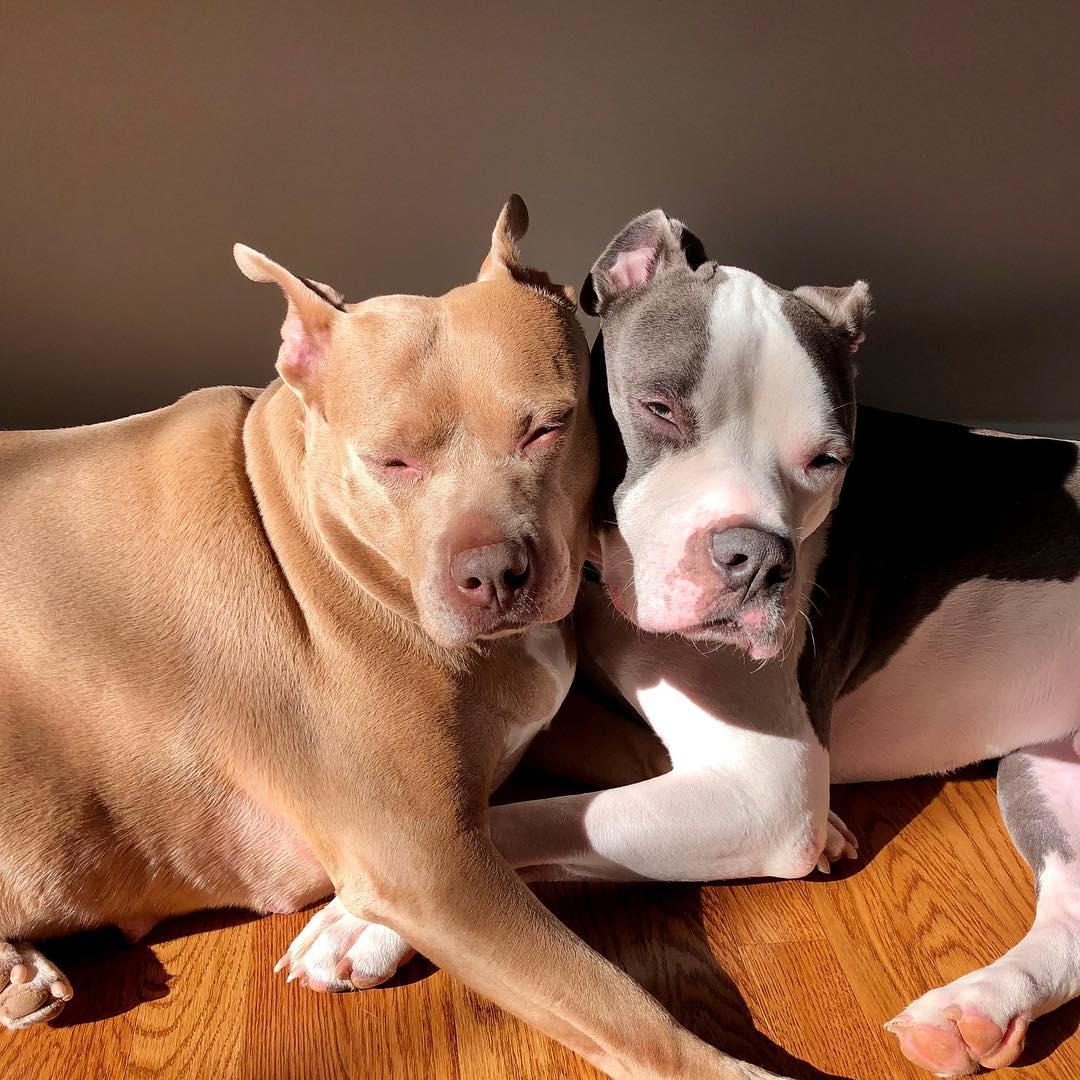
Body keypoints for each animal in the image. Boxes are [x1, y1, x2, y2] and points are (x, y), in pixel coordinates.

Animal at [0, 198, 777, 1075]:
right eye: (391, 462)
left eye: (548, 427)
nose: (496, 572)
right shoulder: (431, 869)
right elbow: (621, 1008)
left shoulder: (533, 723)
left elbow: (644, 761)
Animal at [494, 212, 1080, 1080]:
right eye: (659, 408)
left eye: (828, 461)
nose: (757, 558)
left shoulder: (764, 792)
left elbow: (534, 821)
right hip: (1045, 771)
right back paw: (976, 1009)